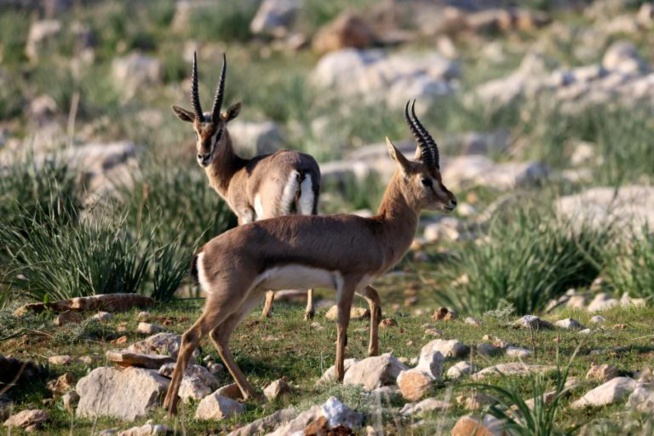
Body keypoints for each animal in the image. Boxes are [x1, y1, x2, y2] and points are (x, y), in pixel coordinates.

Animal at [163, 101, 457, 414]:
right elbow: (342, 325)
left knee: (219, 335)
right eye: (426, 179)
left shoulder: (361, 283)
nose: (452, 201)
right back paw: (170, 405)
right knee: (191, 336)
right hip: (227, 297)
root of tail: (202, 252)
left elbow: (376, 302)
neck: (377, 230)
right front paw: (339, 374)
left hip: (249, 296)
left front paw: (373, 353)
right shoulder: (348, 282)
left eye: (439, 176)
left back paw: (252, 394)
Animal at [171, 52, 321, 320]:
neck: (237, 171)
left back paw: (267, 310)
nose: (203, 156)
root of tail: (300, 167)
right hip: (310, 212)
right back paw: (308, 311)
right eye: (196, 131)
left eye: (220, 131)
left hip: (277, 214)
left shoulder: (244, 214)